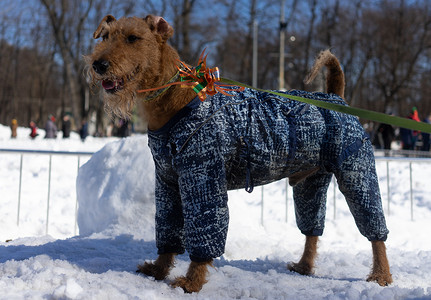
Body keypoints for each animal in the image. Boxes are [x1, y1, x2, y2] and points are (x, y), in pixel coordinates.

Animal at [88, 14, 394, 292]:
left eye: (133, 38)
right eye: (105, 36)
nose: (98, 64)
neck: (175, 101)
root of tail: (335, 96)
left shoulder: (203, 178)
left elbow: (205, 234)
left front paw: (191, 282)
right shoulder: (168, 183)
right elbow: (168, 233)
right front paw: (158, 270)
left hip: (356, 172)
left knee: (375, 232)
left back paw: (381, 276)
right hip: (310, 183)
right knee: (312, 231)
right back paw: (304, 266)